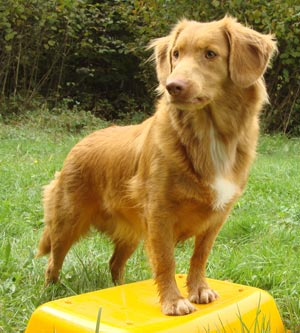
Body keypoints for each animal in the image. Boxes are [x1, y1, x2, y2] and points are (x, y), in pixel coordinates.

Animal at [37, 17, 276, 314]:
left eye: (210, 54)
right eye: (176, 54)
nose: (173, 86)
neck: (207, 135)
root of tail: (81, 142)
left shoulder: (216, 217)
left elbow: (200, 255)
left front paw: (199, 289)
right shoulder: (159, 214)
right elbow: (166, 261)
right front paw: (174, 301)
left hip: (131, 232)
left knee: (114, 263)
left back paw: (119, 289)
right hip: (67, 221)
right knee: (54, 260)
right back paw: (50, 291)